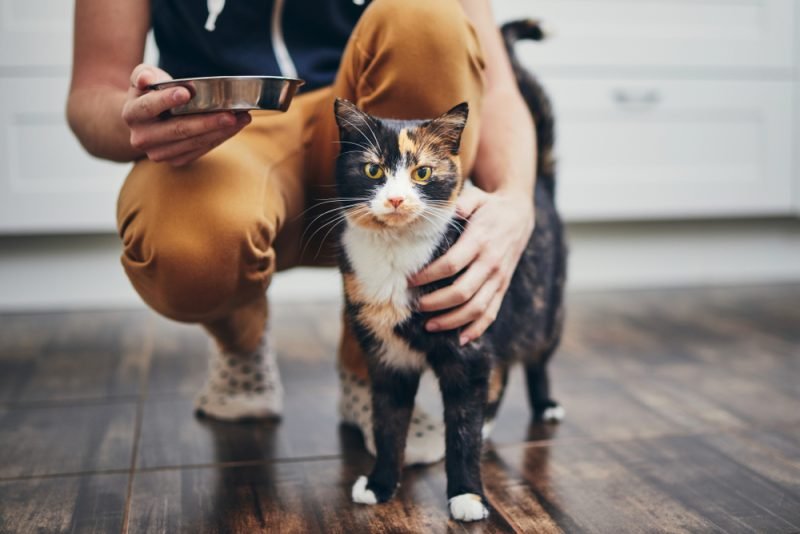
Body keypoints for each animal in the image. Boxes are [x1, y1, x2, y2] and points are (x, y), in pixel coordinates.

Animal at [332, 19, 564, 524]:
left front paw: (467, 496)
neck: (395, 254)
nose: (396, 199)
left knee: (535, 359)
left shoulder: (468, 347)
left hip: (544, 309)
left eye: (422, 172)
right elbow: (388, 423)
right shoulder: (386, 356)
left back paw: (545, 404)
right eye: (373, 170)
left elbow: (460, 429)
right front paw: (380, 484)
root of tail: (538, 186)